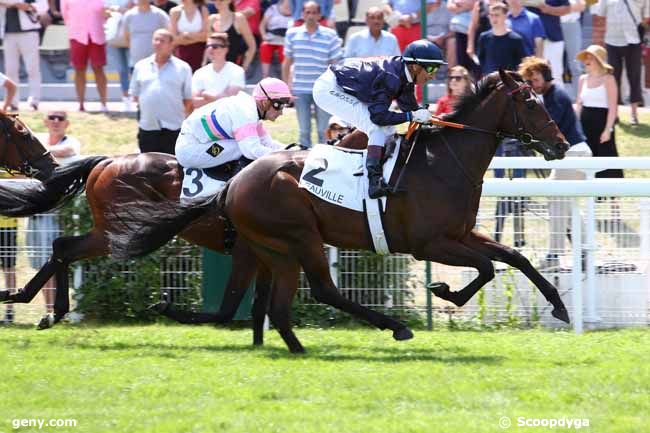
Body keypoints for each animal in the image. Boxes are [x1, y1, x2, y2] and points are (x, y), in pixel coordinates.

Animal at [110, 70, 568, 352]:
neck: (442, 162)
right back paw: (395, 327)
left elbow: (515, 258)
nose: (561, 145)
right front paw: (444, 291)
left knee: (267, 304)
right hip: (299, 237)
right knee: (322, 290)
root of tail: (234, 184)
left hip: (272, 248)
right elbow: (488, 268)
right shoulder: (429, 244)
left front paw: (559, 307)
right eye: (530, 104)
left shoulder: (461, 234)